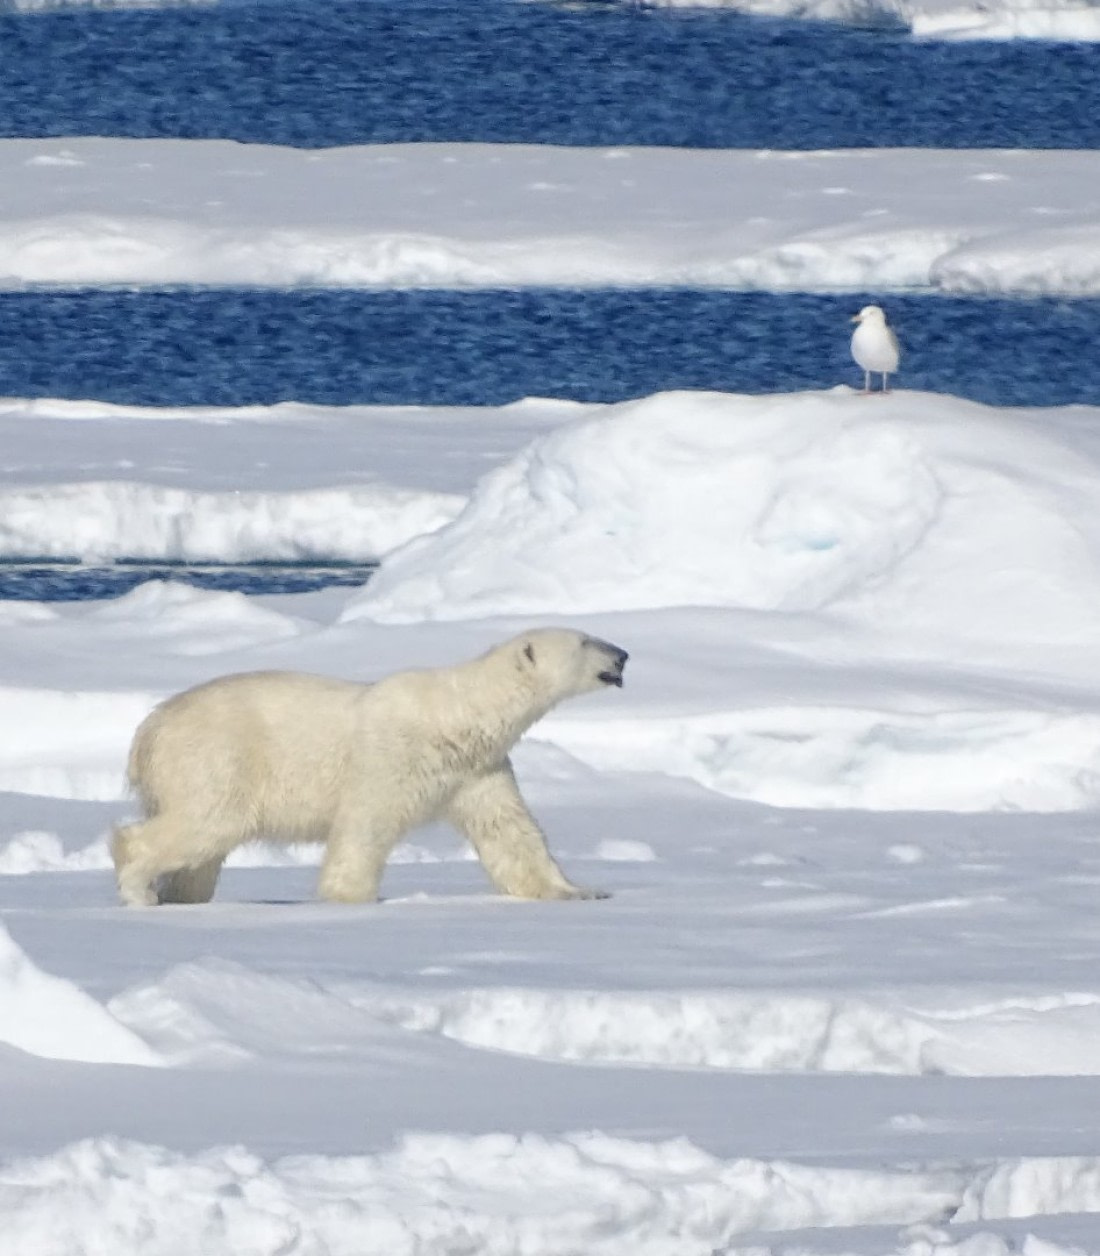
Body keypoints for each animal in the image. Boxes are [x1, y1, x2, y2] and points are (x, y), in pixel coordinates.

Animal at [112, 627, 628, 907]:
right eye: (586, 642)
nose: (623, 654)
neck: (454, 717)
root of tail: (149, 730)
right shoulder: (391, 758)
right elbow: (364, 826)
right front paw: (352, 898)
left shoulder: (478, 770)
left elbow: (511, 833)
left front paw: (581, 891)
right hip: (217, 758)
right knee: (206, 823)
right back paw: (141, 888)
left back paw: (181, 896)